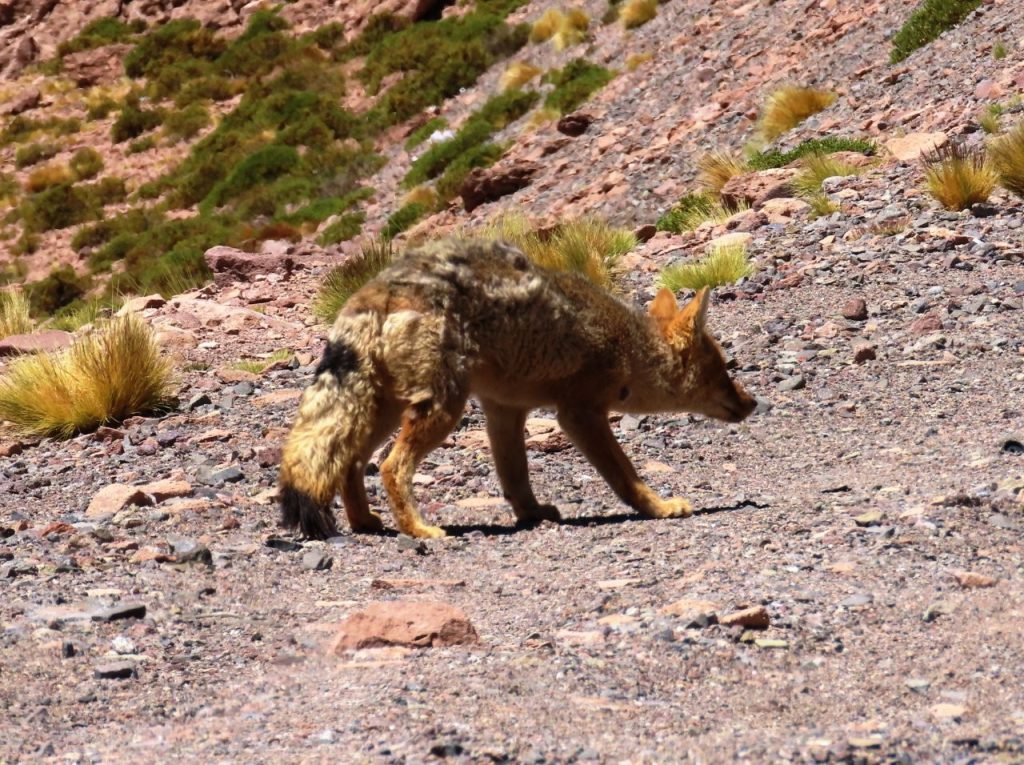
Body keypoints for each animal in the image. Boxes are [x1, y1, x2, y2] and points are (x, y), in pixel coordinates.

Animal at [278, 238, 756, 540]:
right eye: (723, 370)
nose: (753, 402)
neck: (628, 346)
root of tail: (375, 290)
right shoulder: (580, 414)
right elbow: (624, 474)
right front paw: (658, 507)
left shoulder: (505, 411)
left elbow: (515, 476)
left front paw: (532, 514)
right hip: (441, 409)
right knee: (390, 466)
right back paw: (419, 529)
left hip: (389, 409)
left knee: (351, 463)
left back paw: (365, 523)